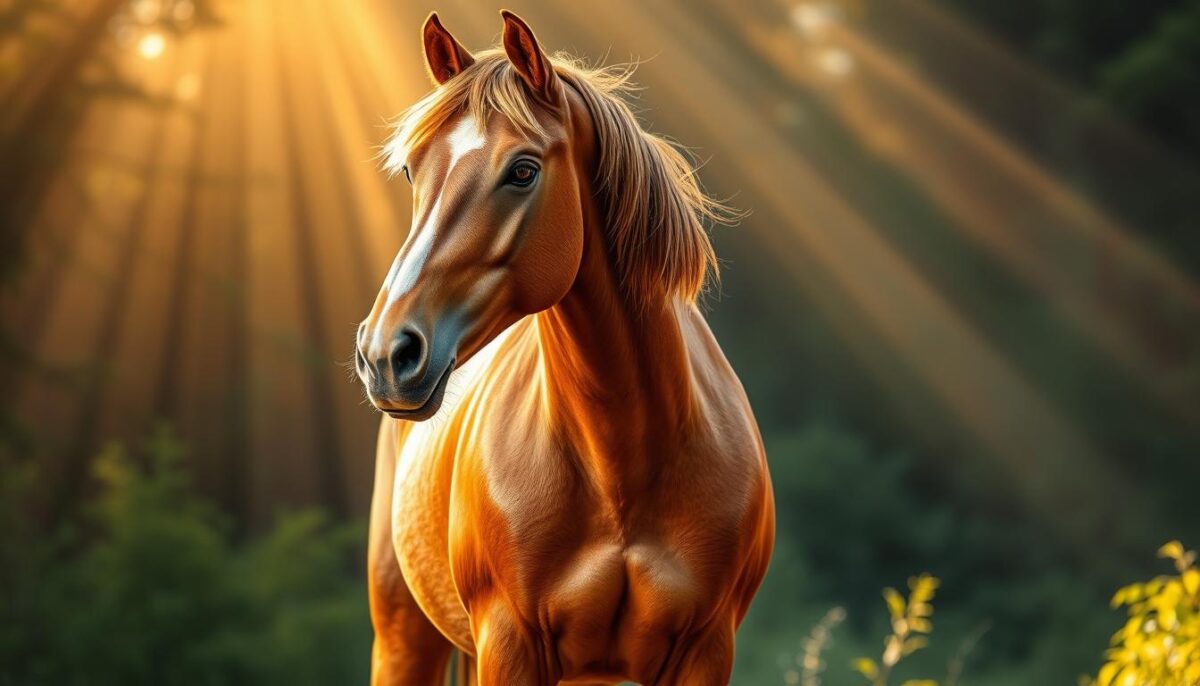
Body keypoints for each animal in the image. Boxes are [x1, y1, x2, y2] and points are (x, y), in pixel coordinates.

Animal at [354, 11, 774, 685]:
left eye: (523, 170)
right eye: (414, 169)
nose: (387, 354)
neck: (621, 469)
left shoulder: (706, 652)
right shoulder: (510, 645)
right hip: (404, 637)